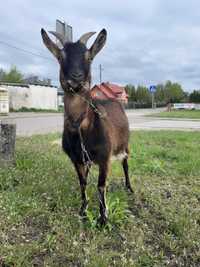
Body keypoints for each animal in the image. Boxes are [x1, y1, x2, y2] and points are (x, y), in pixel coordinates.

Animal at [40, 27, 133, 226]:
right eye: (61, 56)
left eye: (89, 57)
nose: (76, 77)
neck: (81, 127)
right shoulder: (76, 159)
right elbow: (82, 182)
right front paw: (83, 209)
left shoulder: (105, 158)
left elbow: (101, 185)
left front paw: (103, 218)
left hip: (125, 144)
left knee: (126, 164)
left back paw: (129, 188)